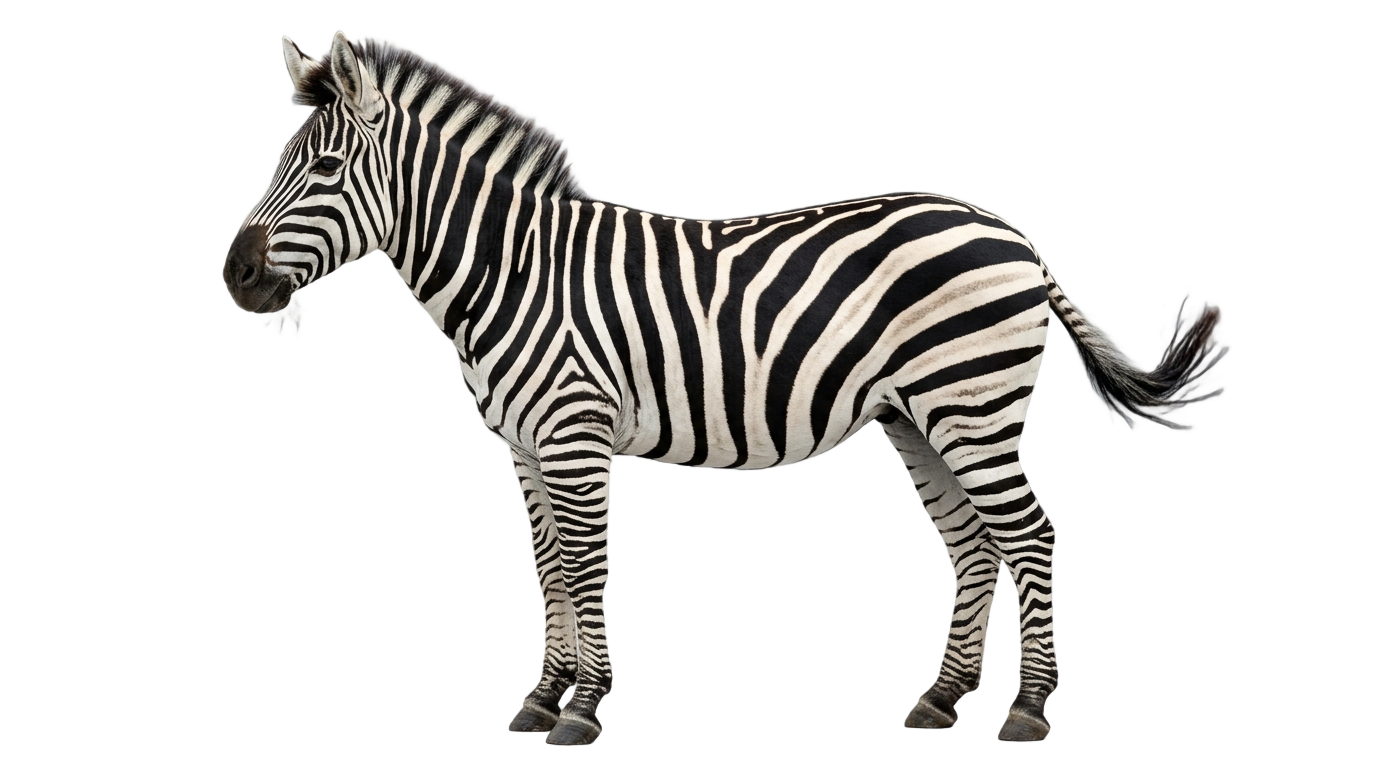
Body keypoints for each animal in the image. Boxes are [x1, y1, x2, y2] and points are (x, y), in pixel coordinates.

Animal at [221, 33, 1217, 746]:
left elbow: (585, 564)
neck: (512, 272)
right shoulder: (519, 443)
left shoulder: (573, 433)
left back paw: (1031, 712)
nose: (234, 272)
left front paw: (584, 711)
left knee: (1032, 537)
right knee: (970, 545)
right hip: (916, 416)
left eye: (326, 171)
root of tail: (1007, 228)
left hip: (971, 402)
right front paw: (541, 698)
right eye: (283, 163)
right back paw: (942, 699)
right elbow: (543, 567)